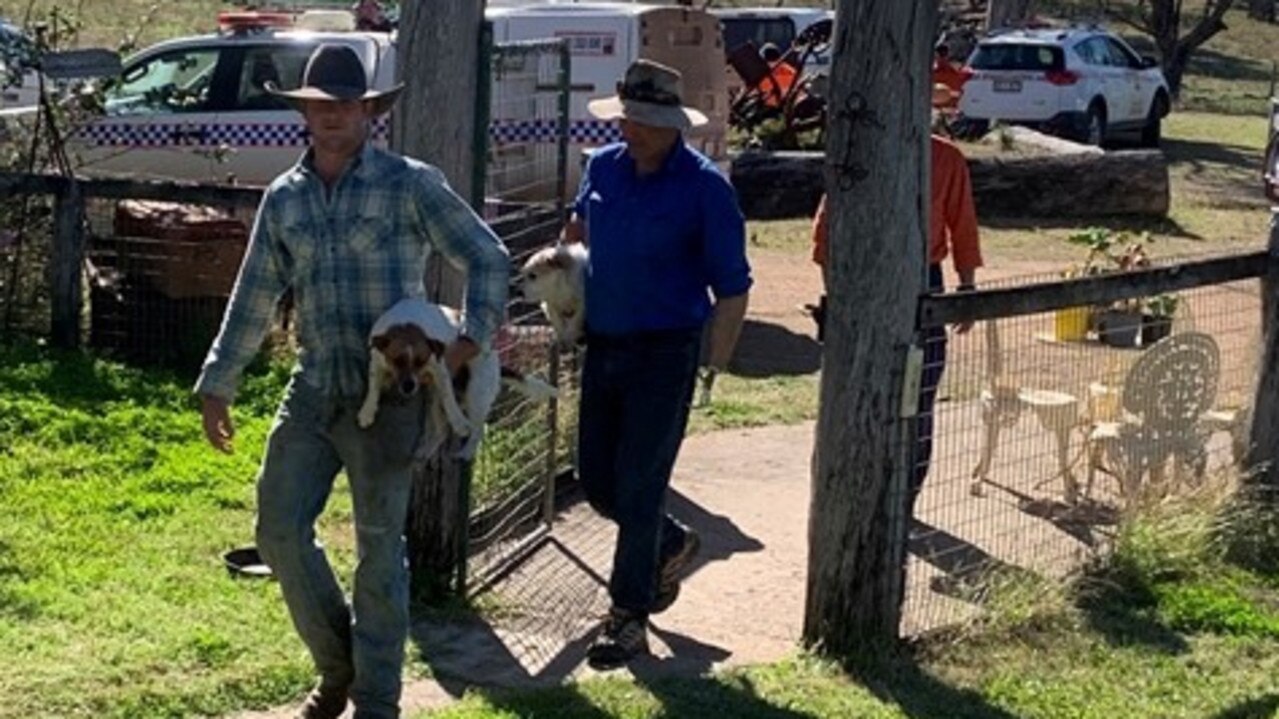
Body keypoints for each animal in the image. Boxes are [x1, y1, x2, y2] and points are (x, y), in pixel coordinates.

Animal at [360, 296, 560, 458]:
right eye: (397, 360)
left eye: (421, 361)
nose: (409, 387)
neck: (406, 323)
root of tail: (496, 361)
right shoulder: (376, 362)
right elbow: (372, 388)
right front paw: (367, 411)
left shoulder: (440, 369)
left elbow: (450, 401)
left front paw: (459, 422)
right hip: (434, 399)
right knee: (441, 431)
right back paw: (426, 450)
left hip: (476, 395)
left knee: (478, 430)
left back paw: (466, 452)